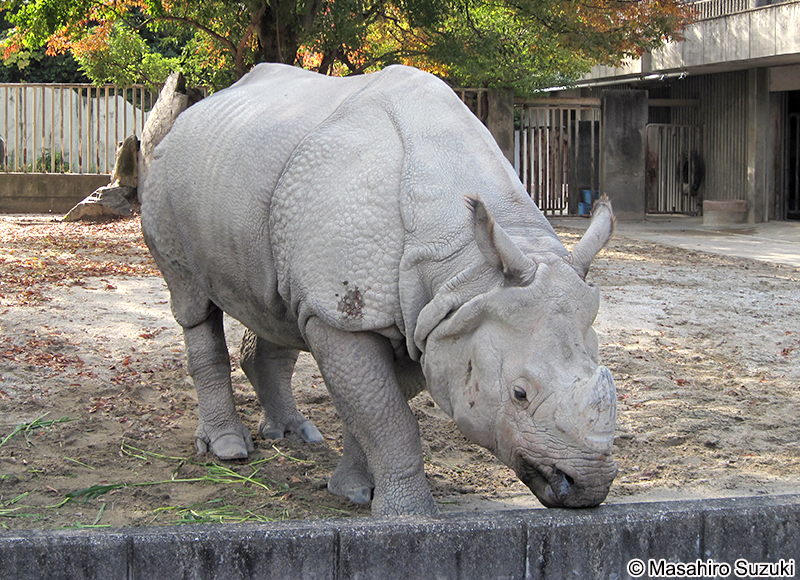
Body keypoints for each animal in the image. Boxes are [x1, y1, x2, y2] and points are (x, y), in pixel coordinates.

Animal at [140, 63, 618, 517]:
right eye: (519, 394)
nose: (587, 487)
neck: (469, 266)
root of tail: (190, 115)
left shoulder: (433, 317)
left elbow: (375, 409)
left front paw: (354, 490)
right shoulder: (349, 315)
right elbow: (387, 416)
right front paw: (407, 514)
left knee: (278, 309)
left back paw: (297, 436)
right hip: (164, 175)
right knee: (193, 303)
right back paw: (229, 450)